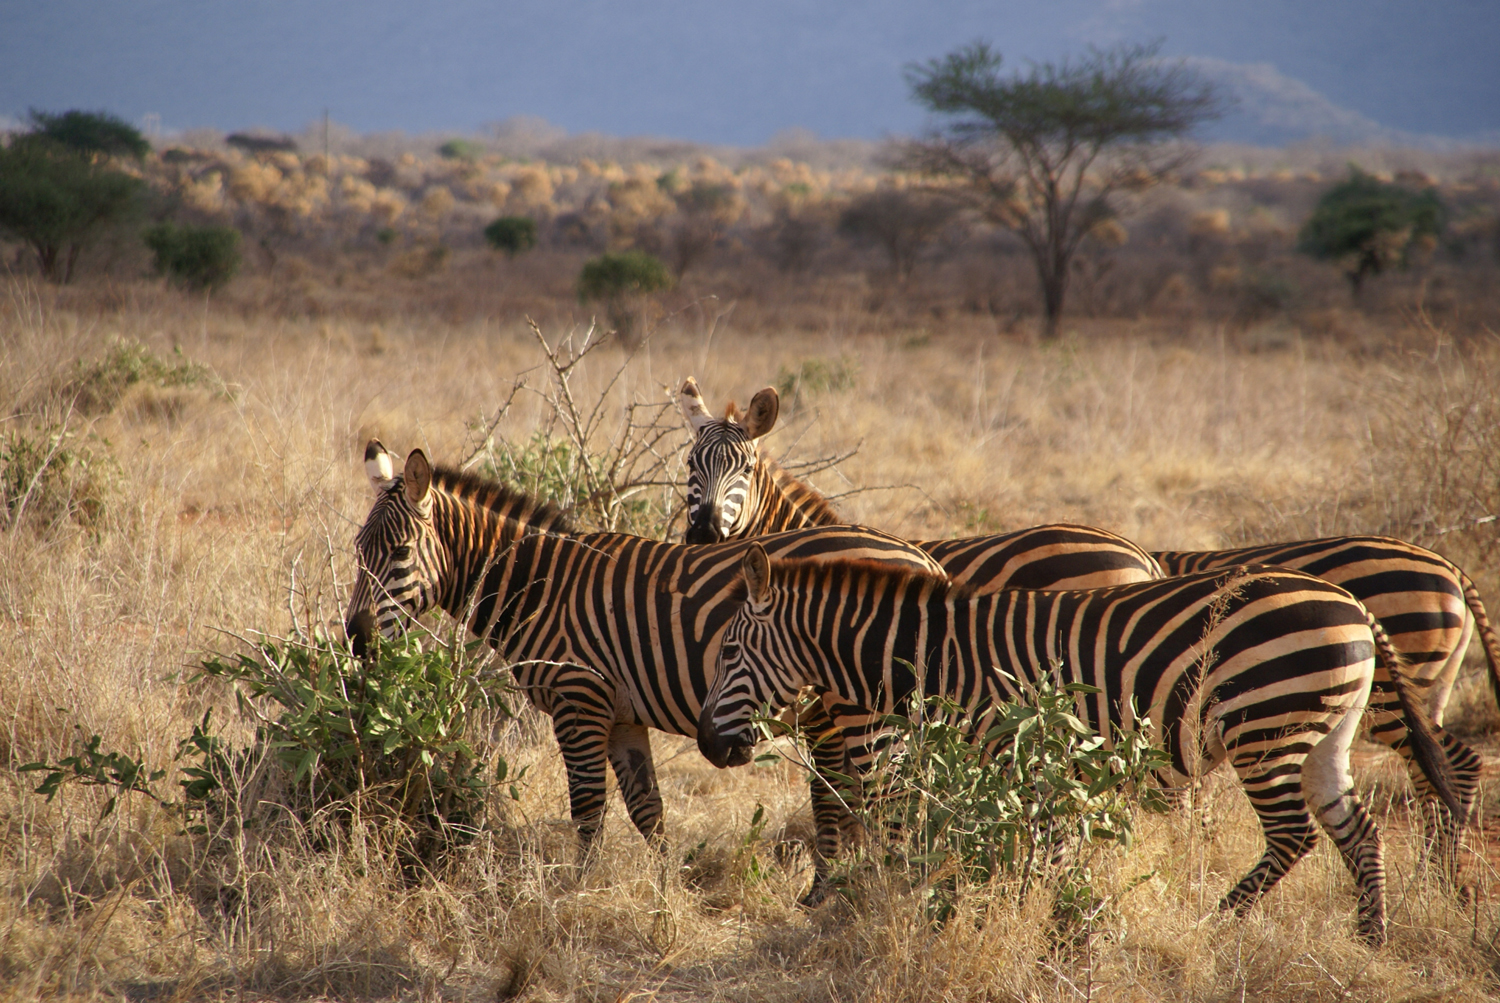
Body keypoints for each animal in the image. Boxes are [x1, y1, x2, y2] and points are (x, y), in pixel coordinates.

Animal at [345, 437, 942, 863]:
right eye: (357, 551)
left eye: (400, 552)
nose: (357, 638)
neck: (542, 588)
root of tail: (923, 560)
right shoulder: (621, 715)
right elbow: (647, 809)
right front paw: (665, 897)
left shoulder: (579, 700)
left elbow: (588, 809)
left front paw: (575, 897)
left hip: (866, 710)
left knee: (890, 806)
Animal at [699, 542, 1464, 941]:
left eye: (730, 651)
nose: (709, 745)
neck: (938, 654)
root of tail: (1353, 605)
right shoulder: (1030, 762)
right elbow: (1035, 849)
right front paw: (1047, 918)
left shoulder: (1010, 747)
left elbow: (1023, 850)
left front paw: (1035, 920)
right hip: (1325, 732)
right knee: (1358, 832)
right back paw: (1370, 939)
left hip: (1266, 725)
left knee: (1293, 835)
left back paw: (1217, 923)